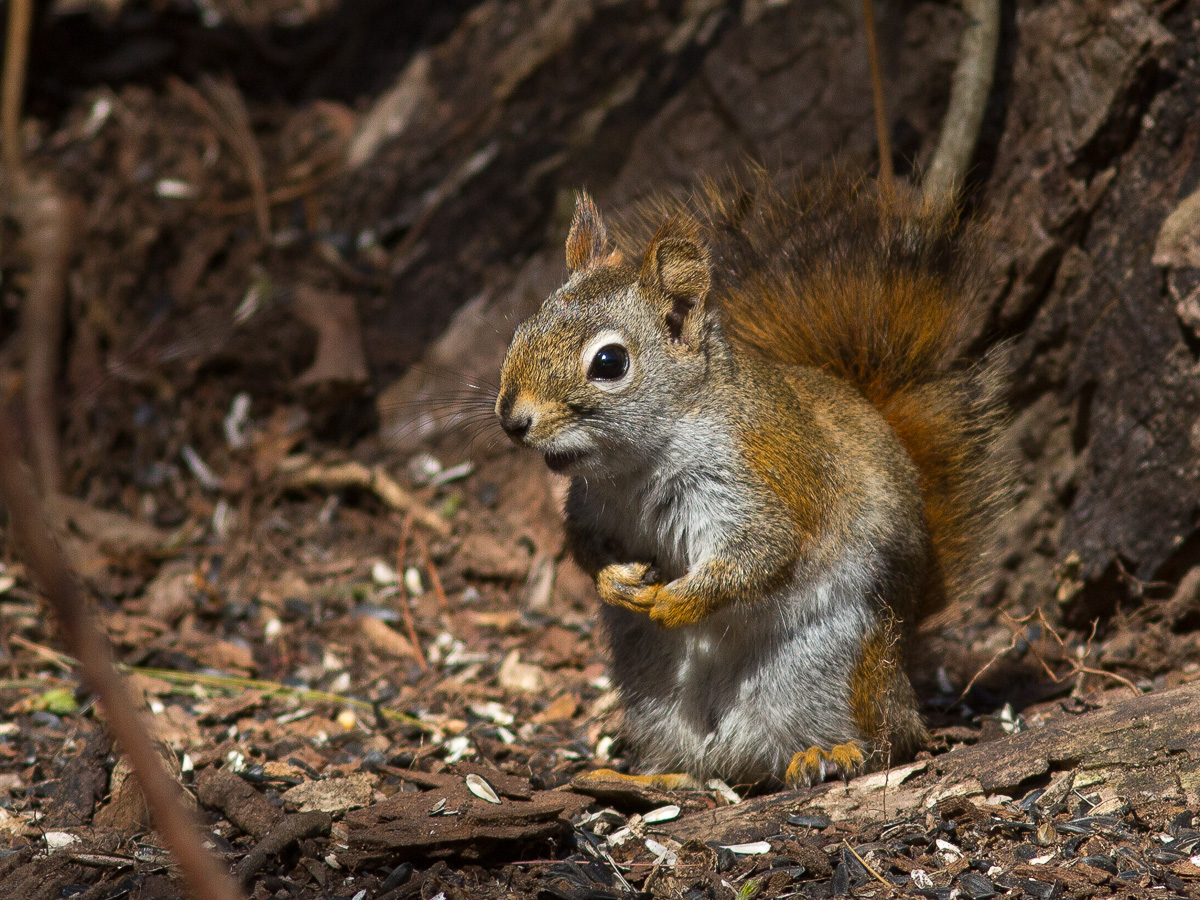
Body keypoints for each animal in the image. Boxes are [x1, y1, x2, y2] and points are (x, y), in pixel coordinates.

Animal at [494, 165, 1003, 787]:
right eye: (522, 330)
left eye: (610, 363)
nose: (513, 420)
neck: (633, 466)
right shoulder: (591, 508)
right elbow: (584, 550)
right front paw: (617, 583)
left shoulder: (751, 481)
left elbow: (762, 552)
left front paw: (675, 603)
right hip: (651, 691)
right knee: (692, 763)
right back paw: (645, 777)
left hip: (834, 662)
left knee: (890, 740)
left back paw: (830, 753)